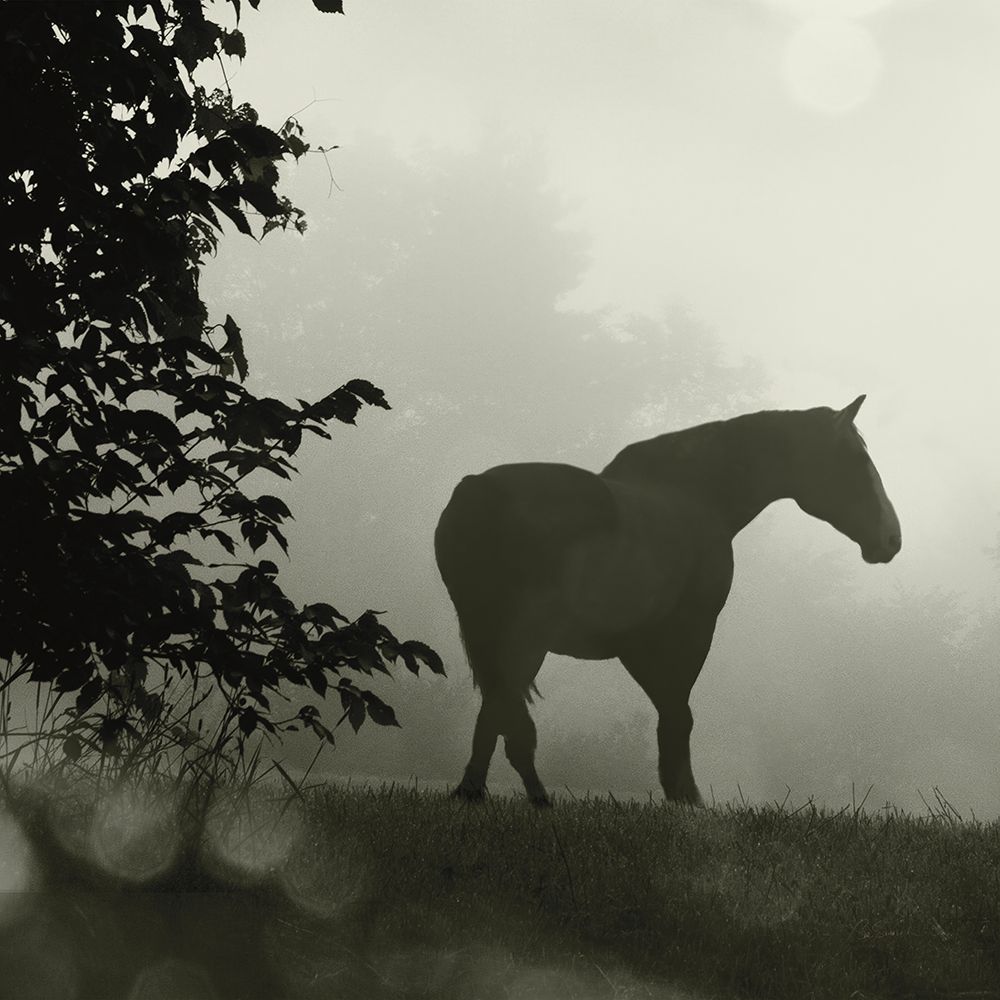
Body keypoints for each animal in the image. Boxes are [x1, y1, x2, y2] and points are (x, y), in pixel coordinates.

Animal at [433, 395, 901, 807]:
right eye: (856, 459)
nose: (892, 539)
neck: (694, 497)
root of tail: (478, 489)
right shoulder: (687, 632)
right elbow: (678, 712)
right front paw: (685, 798)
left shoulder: (638, 644)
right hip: (524, 636)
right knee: (505, 708)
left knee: (498, 709)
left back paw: (485, 792)